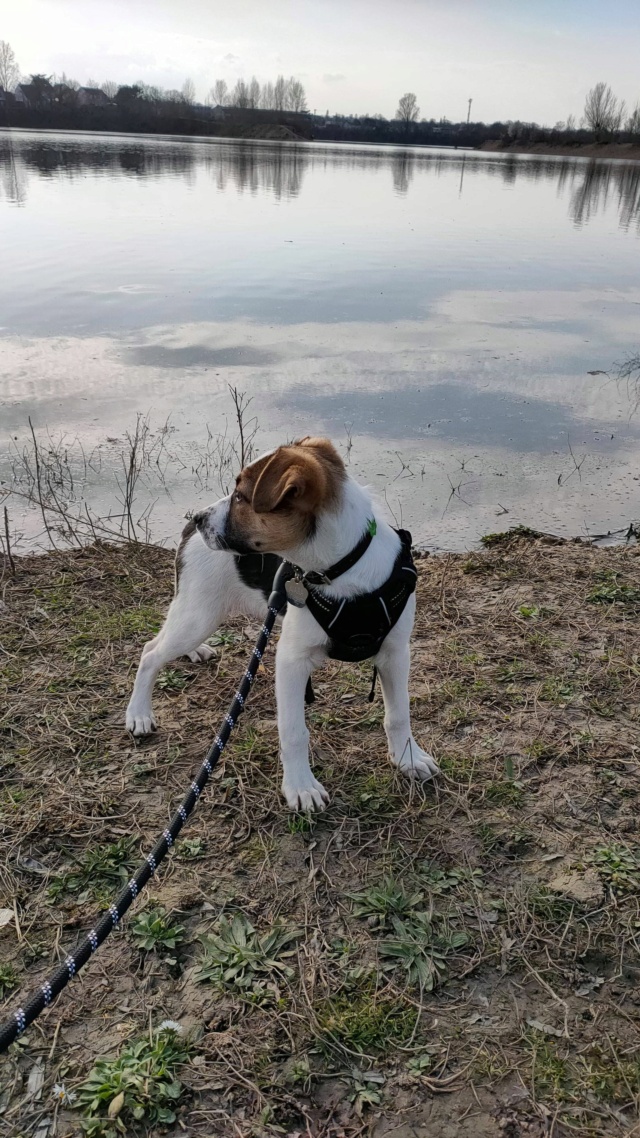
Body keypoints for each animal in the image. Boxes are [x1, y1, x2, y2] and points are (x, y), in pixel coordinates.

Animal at [124, 434, 435, 810]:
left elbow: (399, 714)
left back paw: (195, 653)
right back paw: (139, 714)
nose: (199, 517)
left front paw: (408, 759)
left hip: (197, 613)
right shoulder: (291, 662)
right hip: (197, 614)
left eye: (241, 496)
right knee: (150, 652)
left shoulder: (395, 653)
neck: (343, 570)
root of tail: (186, 530)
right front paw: (300, 786)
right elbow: (294, 732)